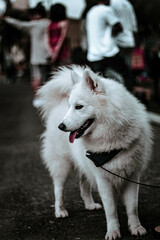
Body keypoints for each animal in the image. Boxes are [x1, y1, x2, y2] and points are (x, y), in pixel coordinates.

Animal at [37, 65, 152, 240]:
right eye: (71, 106)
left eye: (79, 106)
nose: (61, 126)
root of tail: (58, 104)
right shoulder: (103, 178)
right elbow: (110, 210)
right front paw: (113, 232)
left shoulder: (132, 175)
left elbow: (133, 207)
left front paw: (136, 228)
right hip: (62, 165)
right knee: (58, 188)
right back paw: (60, 210)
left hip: (85, 164)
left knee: (83, 185)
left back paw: (89, 204)